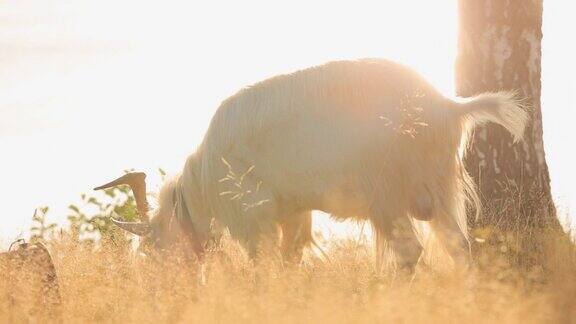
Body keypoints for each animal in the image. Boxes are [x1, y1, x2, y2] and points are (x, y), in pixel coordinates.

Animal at [93, 58, 528, 270]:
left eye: (153, 251)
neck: (205, 179)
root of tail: (447, 107)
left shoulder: (253, 216)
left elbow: (264, 267)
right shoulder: (293, 213)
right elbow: (290, 261)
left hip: (387, 196)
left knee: (409, 252)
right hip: (437, 191)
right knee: (459, 249)